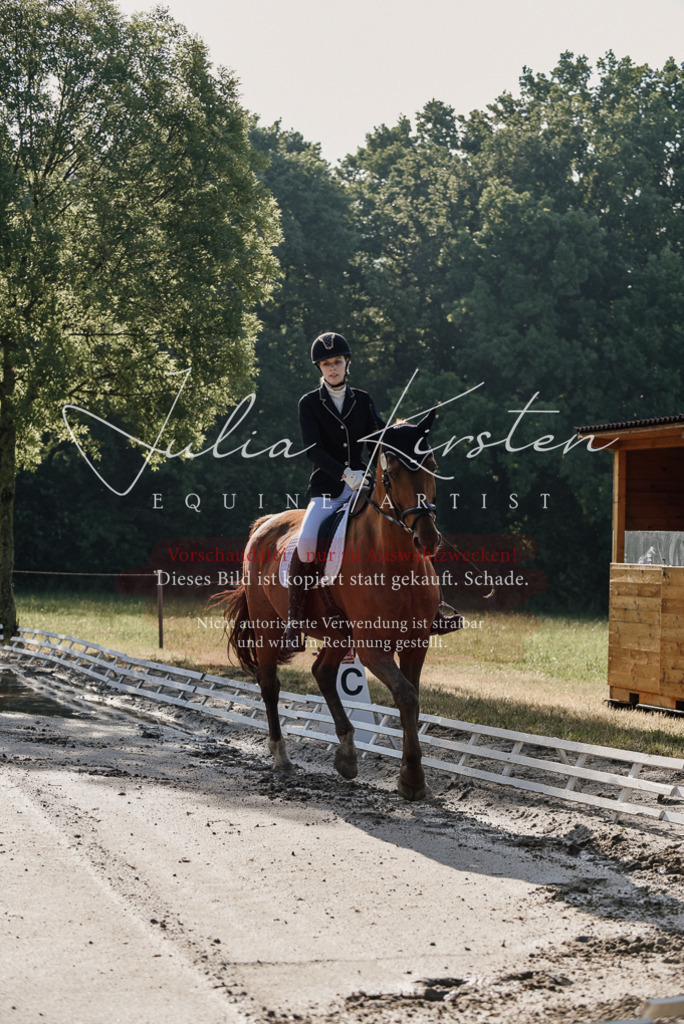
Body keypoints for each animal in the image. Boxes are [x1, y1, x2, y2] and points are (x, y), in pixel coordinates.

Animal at [221, 411, 442, 801]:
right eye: (392, 473)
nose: (427, 539)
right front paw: (413, 778)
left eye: (430, 465)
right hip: (268, 627)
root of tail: (265, 523)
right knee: (269, 684)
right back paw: (282, 758)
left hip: (338, 634)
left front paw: (410, 775)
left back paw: (347, 754)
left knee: (322, 672)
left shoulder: (417, 643)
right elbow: (405, 695)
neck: (396, 560)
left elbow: (412, 699)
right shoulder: (372, 649)